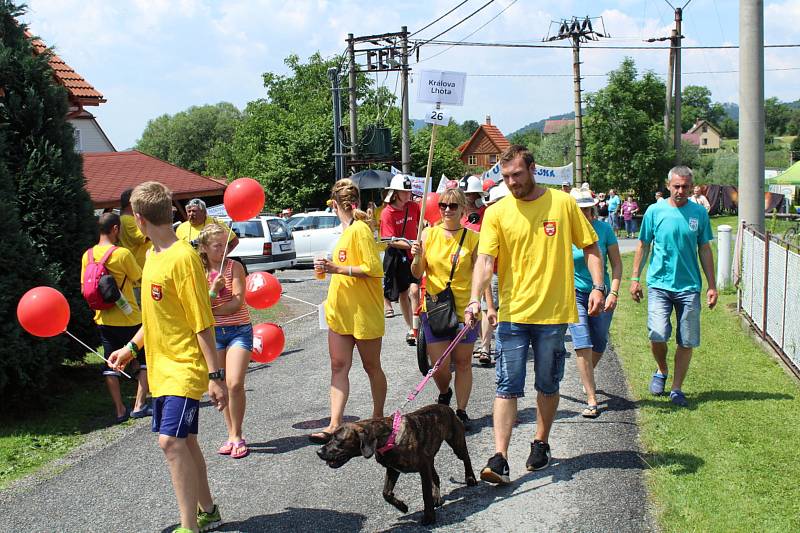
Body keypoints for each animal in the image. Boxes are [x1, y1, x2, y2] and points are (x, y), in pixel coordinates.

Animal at [318, 404, 478, 524]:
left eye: (339, 440)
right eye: (331, 437)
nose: (319, 452)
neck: (389, 437)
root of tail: (446, 407)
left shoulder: (422, 469)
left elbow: (425, 494)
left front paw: (429, 517)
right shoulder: (393, 469)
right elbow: (386, 493)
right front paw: (402, 507)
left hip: (456, 443)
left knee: (466, 459)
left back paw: (470, 478)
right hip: (430, 459)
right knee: (436, 477)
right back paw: (437, 497)